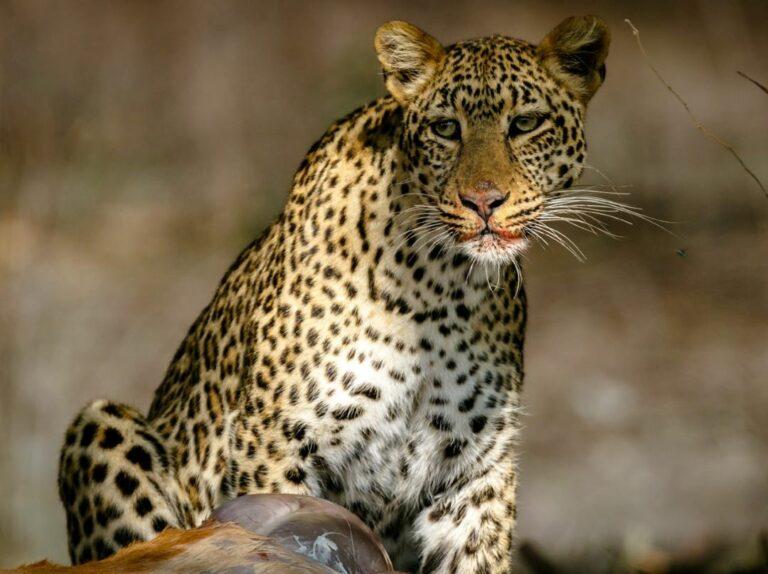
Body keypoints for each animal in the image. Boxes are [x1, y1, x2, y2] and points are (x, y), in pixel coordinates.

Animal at [57, 15, 610, 573]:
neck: (440, 288)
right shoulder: (275, 445)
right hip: (102, 424)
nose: (482, 201)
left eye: (525, 124)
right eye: (445, 128)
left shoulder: (476, 471)